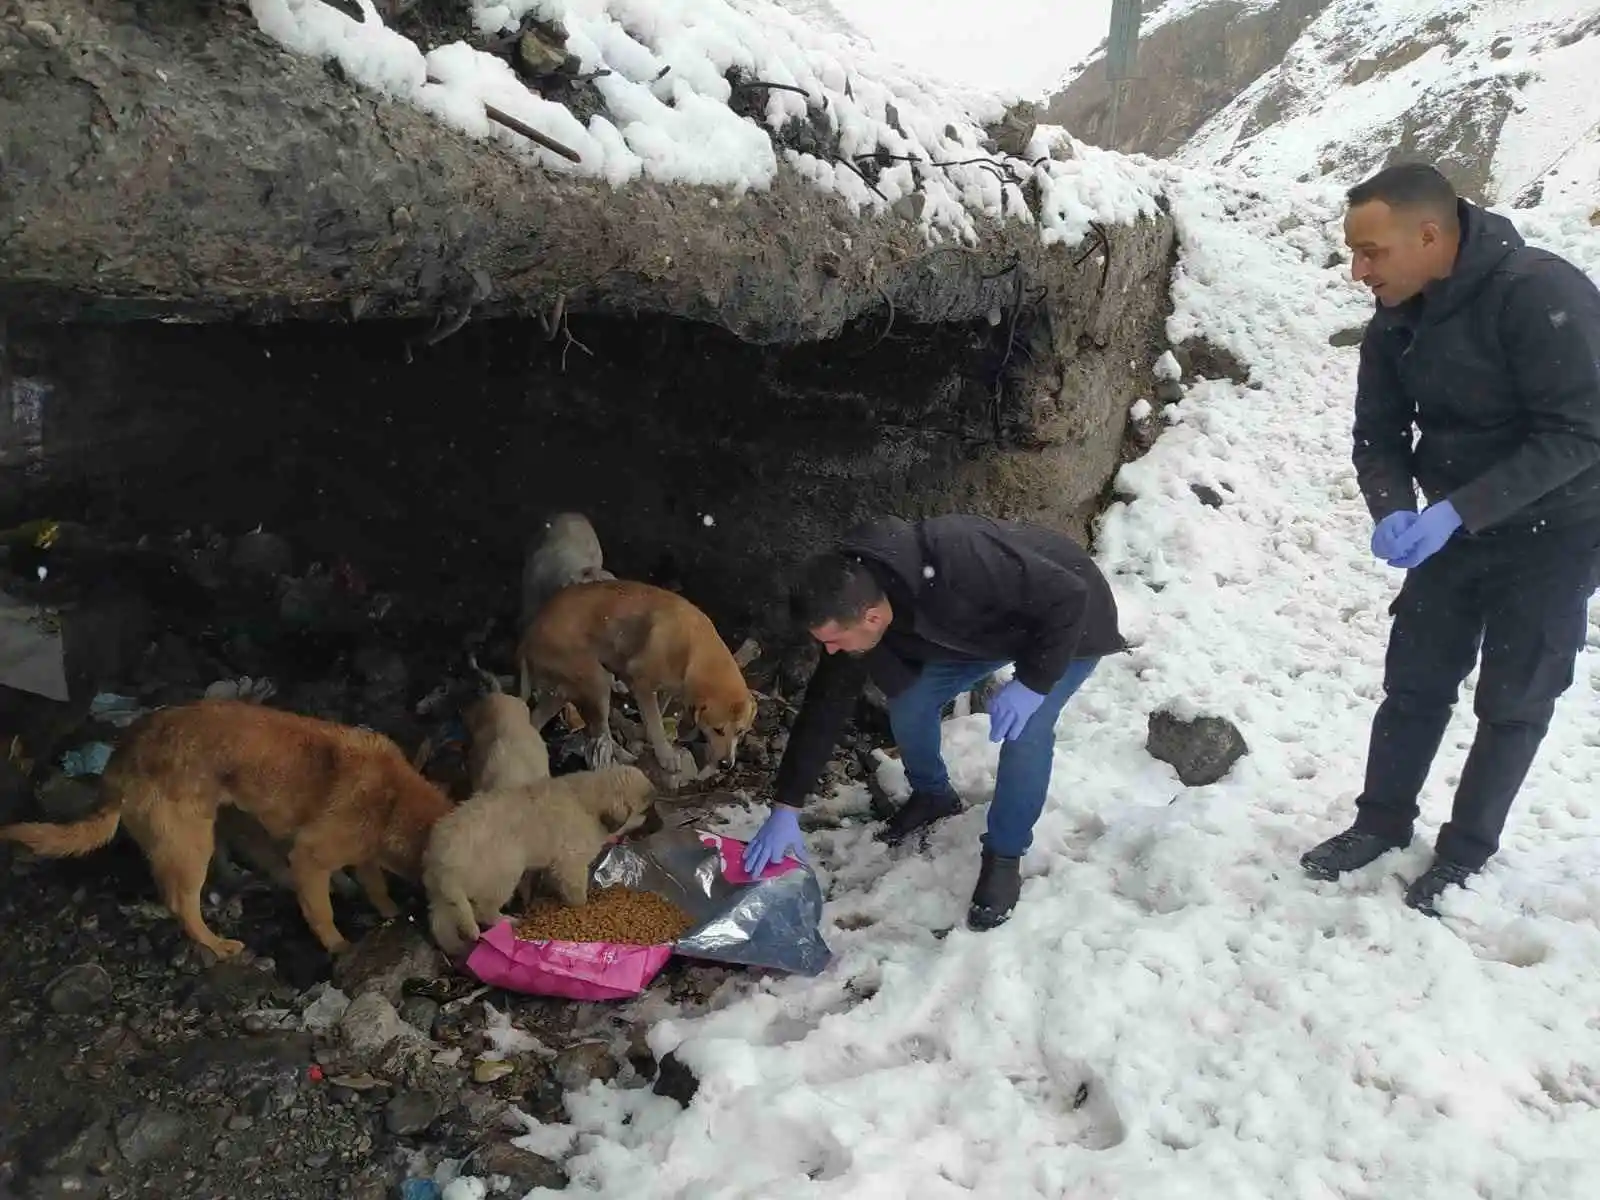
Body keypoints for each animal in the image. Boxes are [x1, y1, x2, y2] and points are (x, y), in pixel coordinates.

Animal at [0, 700, 454, 966]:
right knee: (182, 902)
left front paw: (387, 909)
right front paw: (340, 946)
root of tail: (120, 758)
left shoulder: (363, 853)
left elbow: (375, 884)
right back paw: (215, 943)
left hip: (222, 818)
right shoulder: (312, 856)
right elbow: (322, 913)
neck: (393, 799)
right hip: (191, 843)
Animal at [422, 771, 659, 960]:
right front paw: (583, 905)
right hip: (506, 872)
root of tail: (443, 863)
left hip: (442, 894)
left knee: (440, 920)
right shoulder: (571, 862)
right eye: (646, 811)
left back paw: (453, 945)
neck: (588, 799)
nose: (661, 826)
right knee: (483, 910)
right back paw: (507, 921)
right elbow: (577, 891)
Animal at [515, 582, 758, 790]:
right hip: (597, 681)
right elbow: (655, 723)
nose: (727, 764)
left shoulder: (665, 689)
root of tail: (528, 635)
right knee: (600, 732)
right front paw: (665, 755)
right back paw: (623, 756)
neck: (695, 651)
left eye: (740, 732)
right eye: (718, 730)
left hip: (560, 694)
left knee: (539, 722)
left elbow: (657, 713)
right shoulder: (642, 683)